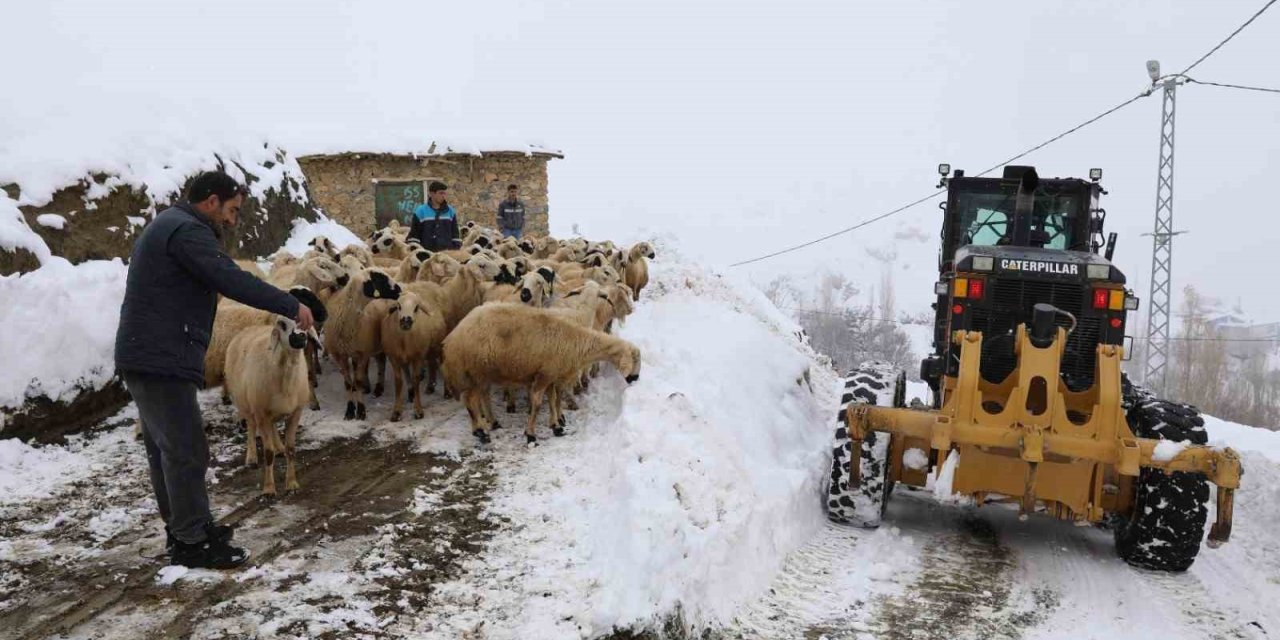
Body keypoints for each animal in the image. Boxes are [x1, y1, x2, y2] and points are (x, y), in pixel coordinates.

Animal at [320, 264, 399, 419]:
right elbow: (348, 383)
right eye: (380, 279)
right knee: (379, 361)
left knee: (381, 363)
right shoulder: (340, 355)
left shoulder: (363, 353)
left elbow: (358, 381)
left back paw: (379, 388)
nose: (399, 289)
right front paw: (350, 410)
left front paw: (361, 411)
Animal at [442, 302, 640, 442]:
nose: (635, 379)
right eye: (636, 360)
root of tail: (451, 339)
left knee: (475, 399)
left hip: (479, 374)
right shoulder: (544, 376)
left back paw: (485, 426)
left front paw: (556, 426)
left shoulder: (551, 375)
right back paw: (481, 431)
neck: (577, 342)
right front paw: (531, 434)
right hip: (474, 372)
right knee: (471, 401)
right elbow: (537, 403)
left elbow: (552, 400)